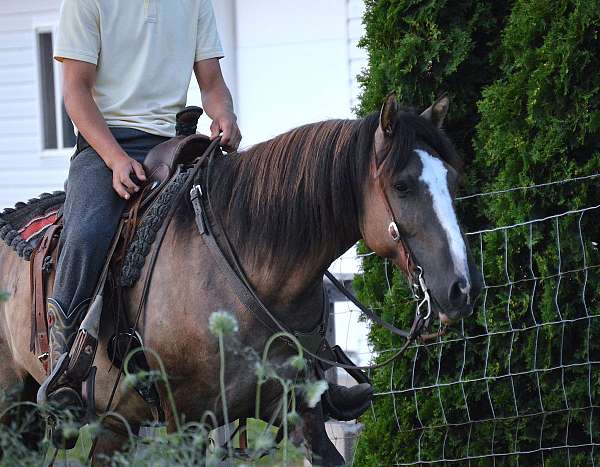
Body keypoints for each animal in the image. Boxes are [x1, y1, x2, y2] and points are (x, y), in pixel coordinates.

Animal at [0, 96, 482, 467]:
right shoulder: (188, 422)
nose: (462, 289)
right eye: (401, 185)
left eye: (454, 178)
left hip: (113, 421)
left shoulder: (295, 407)